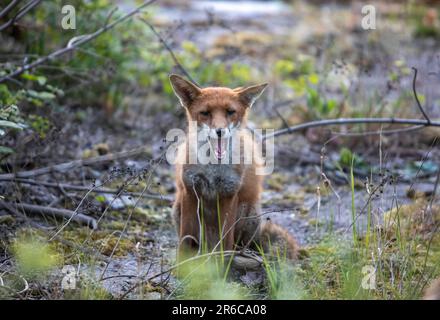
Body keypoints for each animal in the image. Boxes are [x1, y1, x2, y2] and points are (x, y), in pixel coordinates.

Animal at [168, 74, 300, 262]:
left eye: (230, 112)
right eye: (205, 113)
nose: (220, 131)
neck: (212, 168)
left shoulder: (229, 193)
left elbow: (226, 240)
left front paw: (223, 263)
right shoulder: (190, 191)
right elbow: (186, 239)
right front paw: (183, 264)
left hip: (247, 212)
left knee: (238, 244)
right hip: (178, 207)